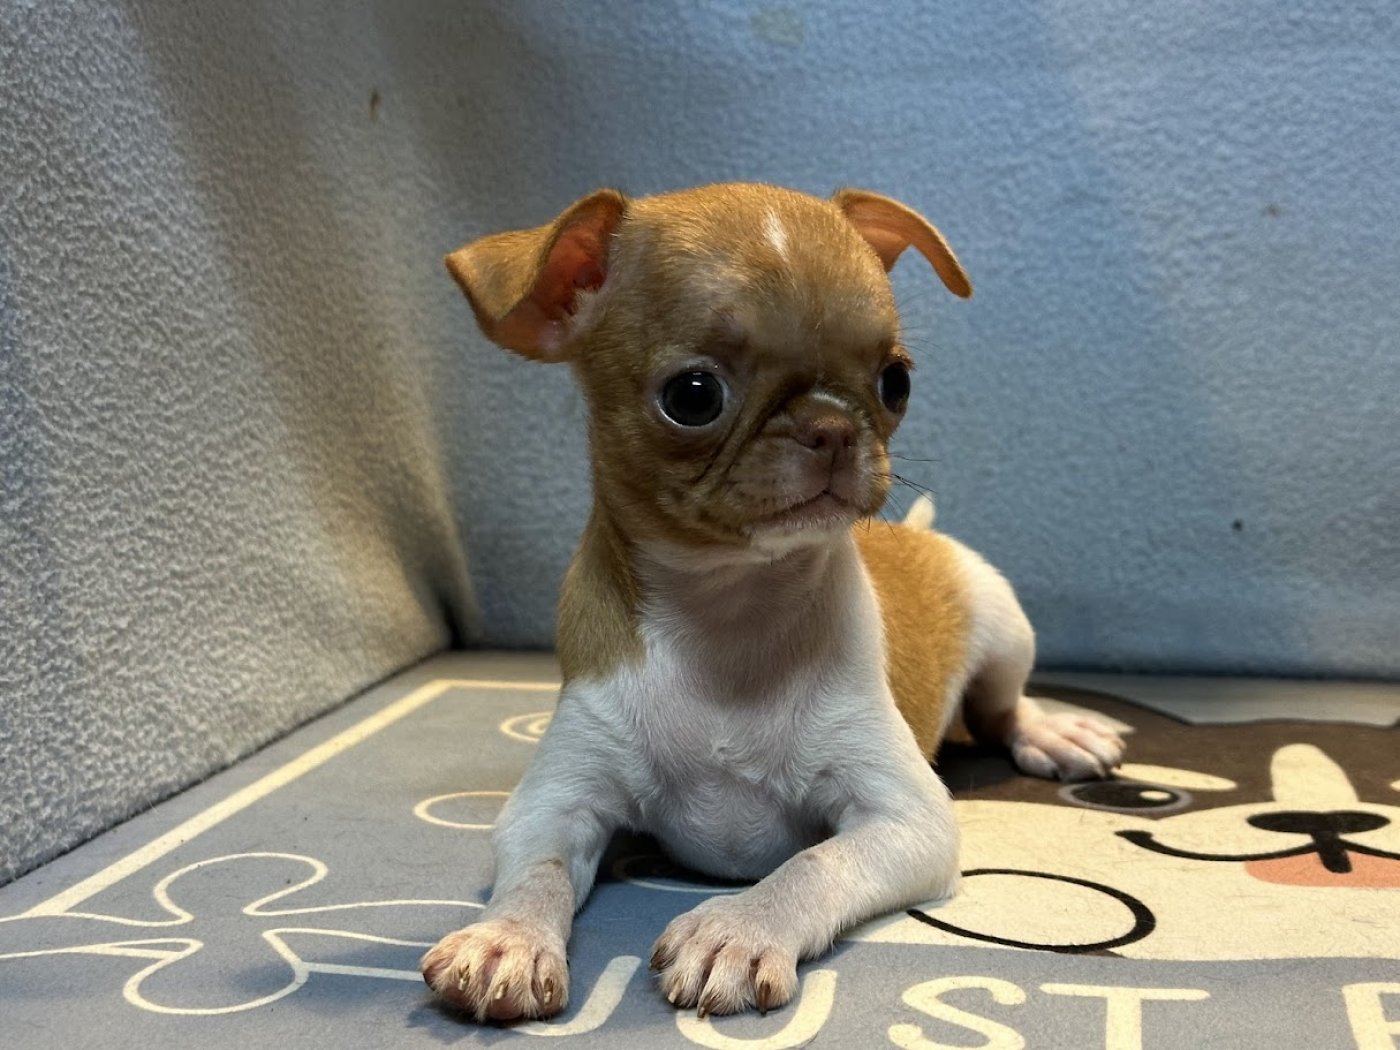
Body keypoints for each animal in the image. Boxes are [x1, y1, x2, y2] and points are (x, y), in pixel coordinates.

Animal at [420, 183, 1126, 1021]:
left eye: (895, 382)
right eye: (693, 397)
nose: (832, 425)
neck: (733, 609)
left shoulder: (905, 819)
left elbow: (813, 864)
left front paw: (739, 926)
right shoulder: (554, 804)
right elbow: (539, 873)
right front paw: (508, 938)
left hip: (1005, 627)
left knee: (1000, 707)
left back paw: (1055, 730)